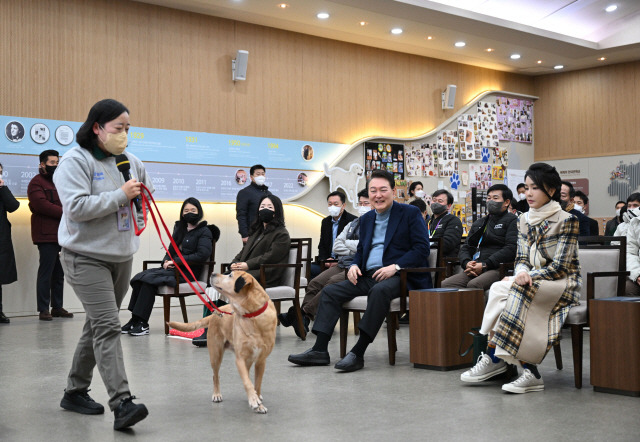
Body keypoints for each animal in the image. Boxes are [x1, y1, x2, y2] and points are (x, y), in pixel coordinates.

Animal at [168, 272, 278, 412]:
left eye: (230, 275)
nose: (213, 273)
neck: (252, 316)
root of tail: (216, 313)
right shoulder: (240, 359)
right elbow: (247, 382)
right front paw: (254, 400)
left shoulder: (261, 361)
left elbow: (257, 384)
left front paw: (258, 402)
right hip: (216, 354)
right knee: (215, 376)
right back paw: (216, 394)